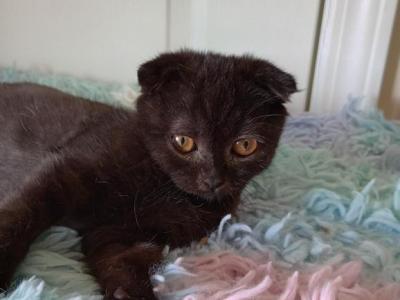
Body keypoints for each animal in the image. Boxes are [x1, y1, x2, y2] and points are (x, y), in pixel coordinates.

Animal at [0, 50, 294, 298]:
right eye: (183, 141)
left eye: (245, 146)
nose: (213, 180)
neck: (163, 186)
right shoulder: (60, 173)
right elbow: (21, 215)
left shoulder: (124, 236)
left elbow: (122, 265)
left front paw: (129, 293)